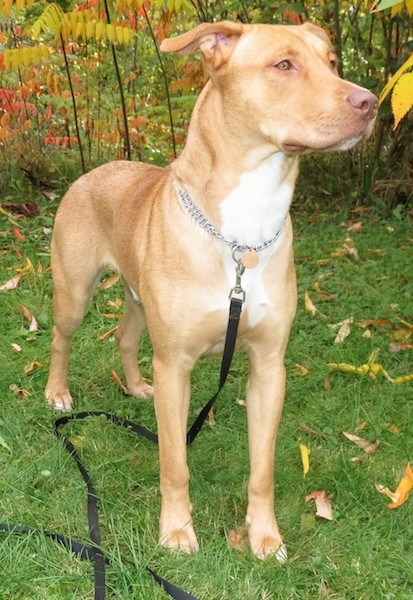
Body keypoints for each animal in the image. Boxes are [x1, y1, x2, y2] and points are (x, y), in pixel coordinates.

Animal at [45, 19, 376, 564]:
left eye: (331, 62)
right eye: (284, 64)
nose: (369, 102)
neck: (244, 232)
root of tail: (98, 169)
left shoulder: (269, 368)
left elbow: (262, 471)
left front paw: (265, 536)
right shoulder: (176, 364)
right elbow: (174, 462)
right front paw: (177, 532)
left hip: (139, 298)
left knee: (126, 336)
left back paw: (136, 386)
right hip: (74, 291)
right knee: (62, 338)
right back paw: (57, 392)